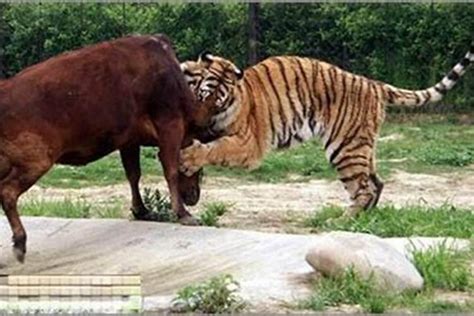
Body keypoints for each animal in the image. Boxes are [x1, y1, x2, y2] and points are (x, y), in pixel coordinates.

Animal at [0, 34, 207, 262]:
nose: (194, 195)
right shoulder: (170, 125)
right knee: (7, 192)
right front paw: (183, 214)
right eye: (200, 168)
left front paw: (141, 210)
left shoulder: (130, 140)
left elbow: (133, 174)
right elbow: (170, 170)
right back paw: (20, 242)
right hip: (37, 160)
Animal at [180, 42, 472, 217]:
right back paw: (364, 218)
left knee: (364, 188)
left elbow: (217, 148)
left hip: (345, 148)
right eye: (204, 94)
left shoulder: (248, 144)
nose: (202, 117)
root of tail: (373, 84)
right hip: (362, 147)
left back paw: (344, 221)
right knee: (376, 182)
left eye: (218, 99)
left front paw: (190, 158)